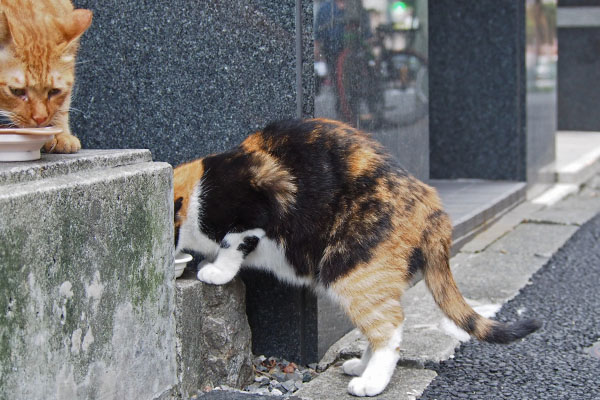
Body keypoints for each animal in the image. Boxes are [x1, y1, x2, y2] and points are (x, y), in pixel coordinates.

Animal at [172, 119, 540, 396]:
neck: (196, 194)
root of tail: (430, 199)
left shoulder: (254, 208)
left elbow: (232, 243)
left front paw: (216, 270)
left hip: (351, 269)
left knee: (391, 329)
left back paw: (372, 382)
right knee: (377, 326)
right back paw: (361, 365)